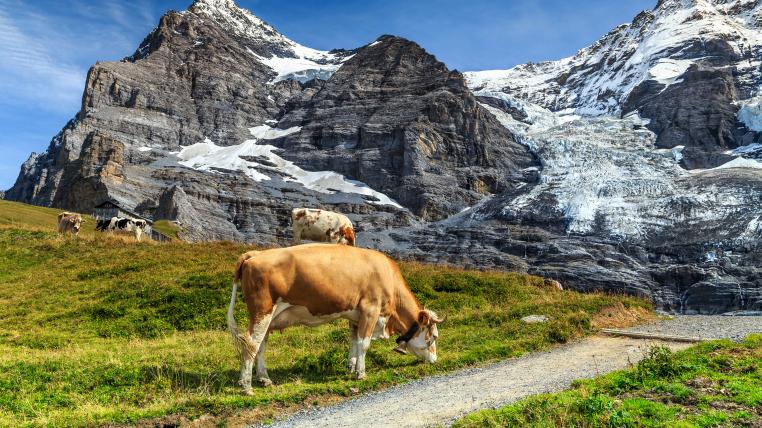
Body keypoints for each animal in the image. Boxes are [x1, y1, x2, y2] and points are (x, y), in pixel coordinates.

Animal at [227, 244, 445, 395]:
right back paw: (246, 386)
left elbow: (353, 341)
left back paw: (264, 378)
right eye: (433, 336)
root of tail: (255, 254)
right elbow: (364, 343)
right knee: (251, 344)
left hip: (266, 318)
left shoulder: (355, 315)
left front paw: (351, 367)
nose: (435, 360)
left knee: (261, 345)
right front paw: (361, 373)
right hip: (262, 312)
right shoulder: (371, 309)